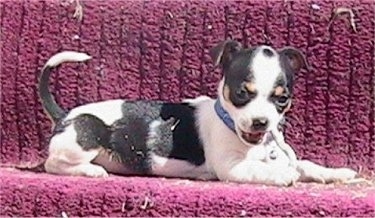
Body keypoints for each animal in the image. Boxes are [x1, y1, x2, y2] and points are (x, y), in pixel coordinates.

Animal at [40, 41, 358, 186]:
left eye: (282, 99)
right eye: (242, 93)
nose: (261, 122)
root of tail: (64, 115)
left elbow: (305, 164)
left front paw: (336, 172)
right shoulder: (231, 168)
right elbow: (263, 169)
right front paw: (282, 174)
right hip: (86, 135)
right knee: (52, 164)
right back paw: (90, 170)